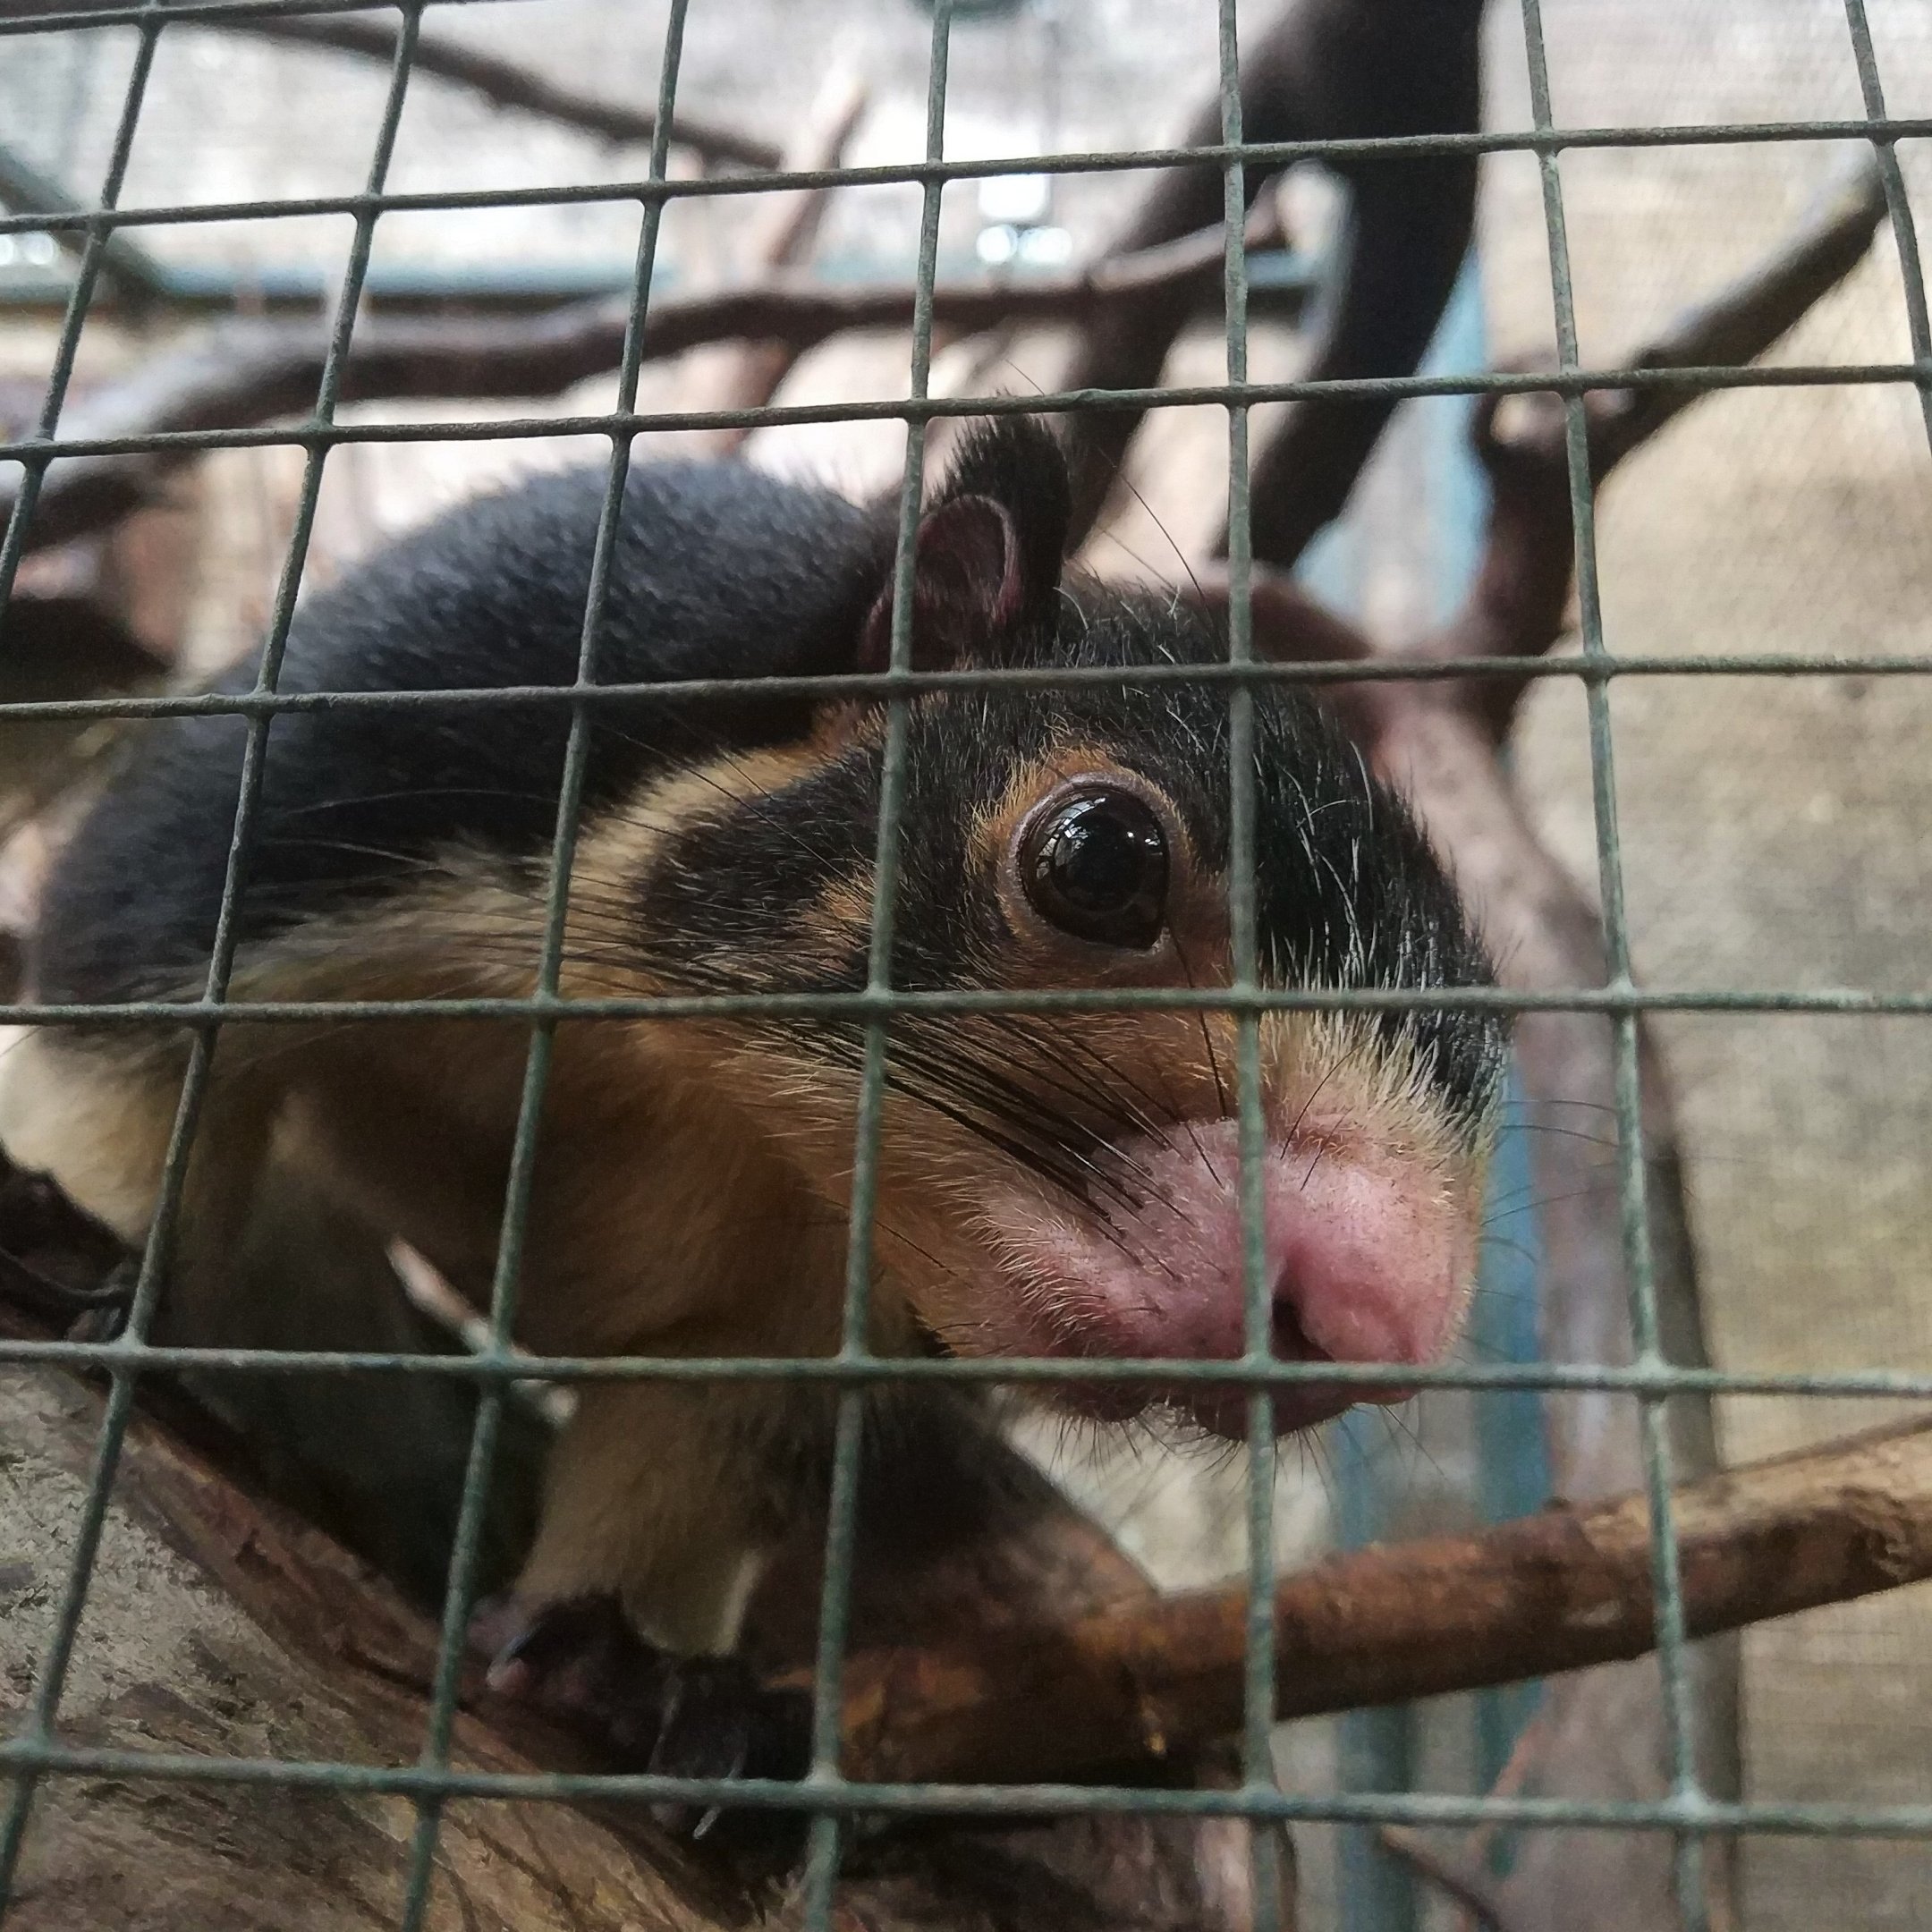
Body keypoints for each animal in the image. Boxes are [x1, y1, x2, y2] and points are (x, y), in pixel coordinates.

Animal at [0, 416, 1505, 1807]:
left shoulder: (790, 1301)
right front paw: (83, 1249)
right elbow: (136, 1041)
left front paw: (628, 1668)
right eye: (1098, 857)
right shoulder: (371, 741)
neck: (699, 1078)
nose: (1378, 1316)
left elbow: (685, 1420)